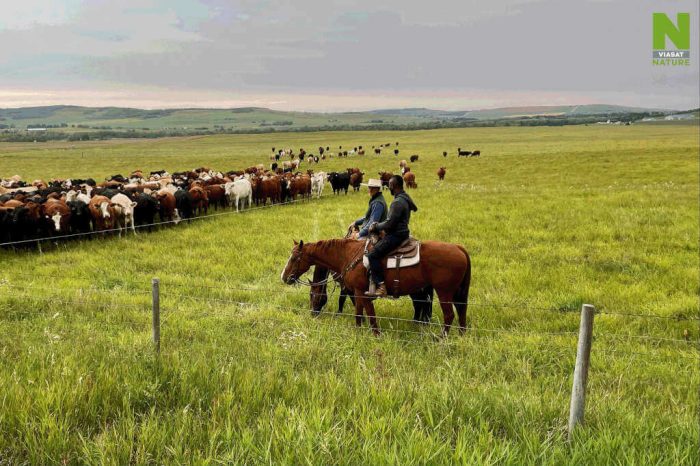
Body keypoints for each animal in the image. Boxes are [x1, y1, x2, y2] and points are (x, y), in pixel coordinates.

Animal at [282, 240, 474, 334]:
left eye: (294, 258)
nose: (284, 277)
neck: (349, 254)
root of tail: (459, 248)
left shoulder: (361, 292)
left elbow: (370, 314)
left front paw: (375, 334)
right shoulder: (357, 292)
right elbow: (358, 312)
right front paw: (358, 331)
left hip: (444, 292)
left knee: (448, 315)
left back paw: (441, 338)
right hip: (452, 292)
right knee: (460, 310)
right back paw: (460, 334)